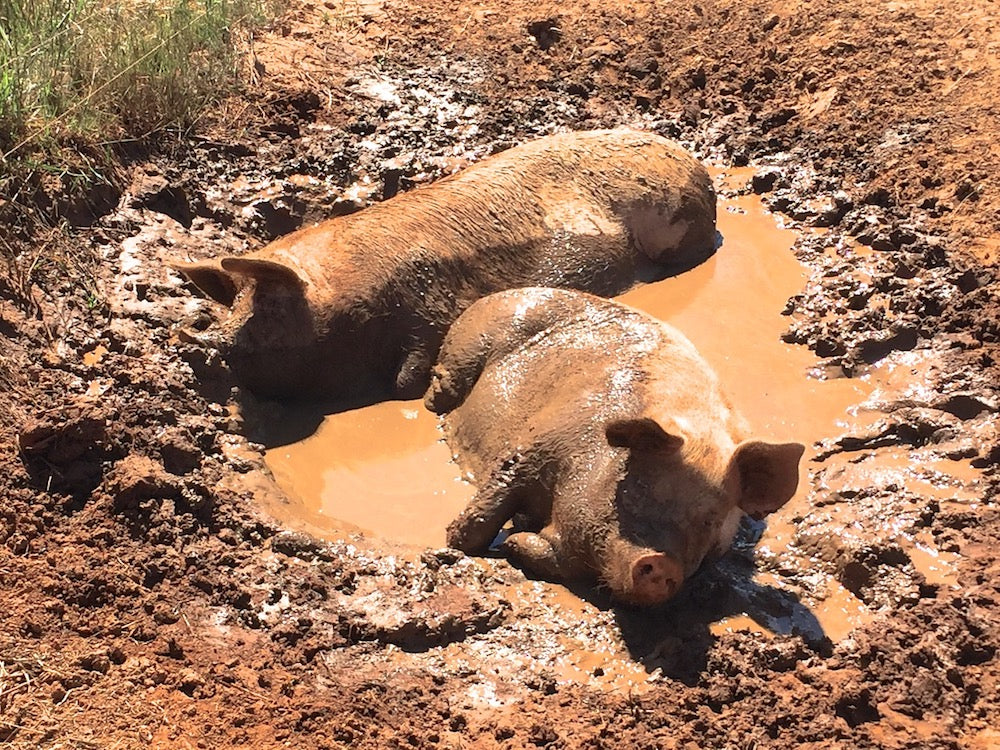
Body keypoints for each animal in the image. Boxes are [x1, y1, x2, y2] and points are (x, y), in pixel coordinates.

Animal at [174, 128, 720, 406]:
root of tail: (694, 165)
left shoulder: (429, 306)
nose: (212, 340)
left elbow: (408, 374)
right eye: (236, 302)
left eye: (269, 304)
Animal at [424, 290, 804, 612]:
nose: (660, 562)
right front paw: (455, 542)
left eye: (710, 520)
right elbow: (488, 509)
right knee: (437, 393)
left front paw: (513, 542)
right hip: (462, 355)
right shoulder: (532, 445)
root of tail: (500, 293)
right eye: (638, 489)